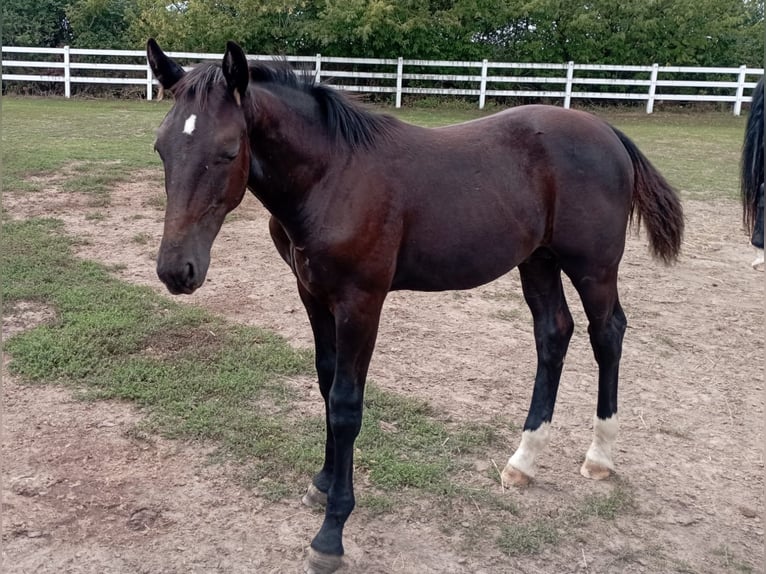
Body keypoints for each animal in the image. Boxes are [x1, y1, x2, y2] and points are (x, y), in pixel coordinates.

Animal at [146, 39, 684, 573]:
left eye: (229, 150)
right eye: (161, 147)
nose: (177, 270)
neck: (333, 175)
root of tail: (607, 132)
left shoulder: (361, 301)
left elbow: (346, 404)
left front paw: (331, 533)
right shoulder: (312, 294)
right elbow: (325, 384)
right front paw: (321, 484)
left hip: (593, 268)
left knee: (607, 333)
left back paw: (600, 457)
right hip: (538, 261)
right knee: (553, 334)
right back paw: (524, 461)